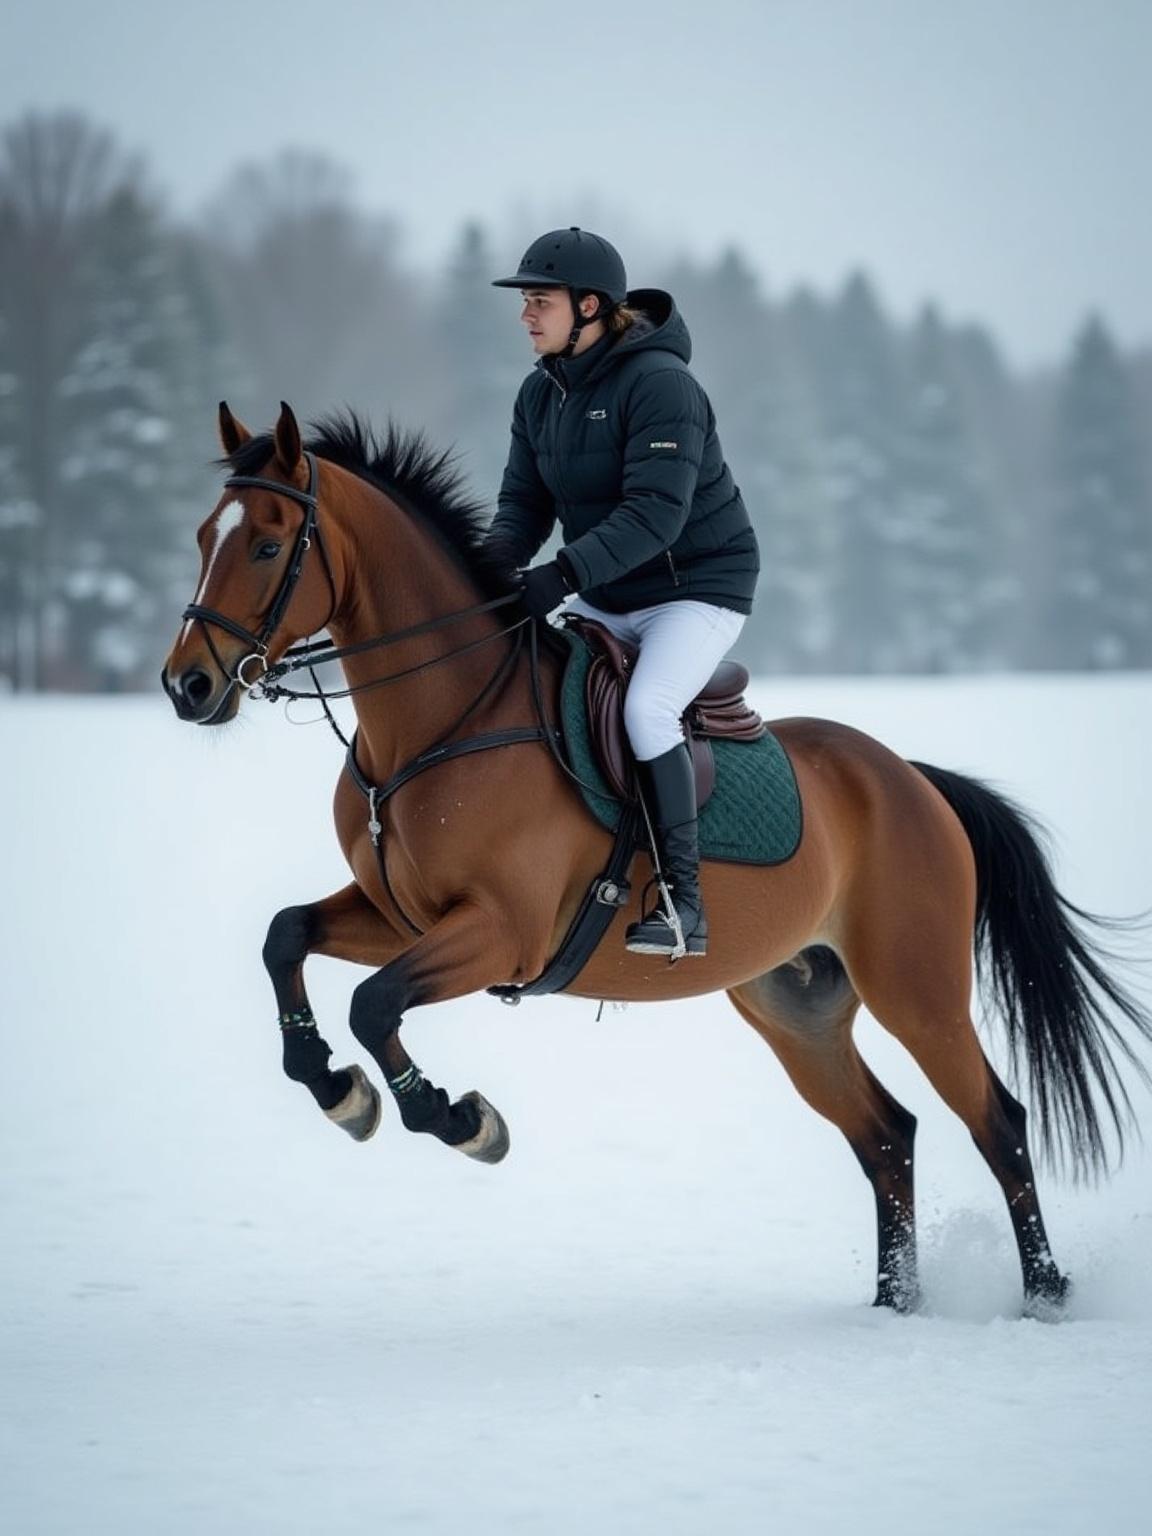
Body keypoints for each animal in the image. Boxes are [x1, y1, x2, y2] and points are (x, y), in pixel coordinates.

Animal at [162, 400, 1151, 1316]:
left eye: (268, 544)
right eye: (204, 536)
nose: (187, 685)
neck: (441, 722)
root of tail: (912, 778)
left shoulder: (501, 934)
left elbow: (373, 1004)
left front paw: (456, 1117)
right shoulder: (399, 917)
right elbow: (286, 937)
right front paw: (337, 1088)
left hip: (918, 992)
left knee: (997, 1122)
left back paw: (1045, 1294)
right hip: (795, 1006)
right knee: (886, 1135)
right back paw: (892, 1303)